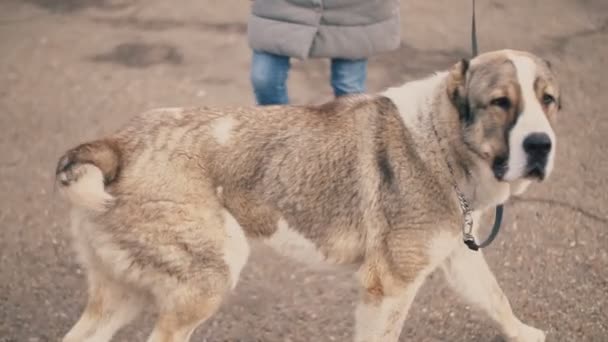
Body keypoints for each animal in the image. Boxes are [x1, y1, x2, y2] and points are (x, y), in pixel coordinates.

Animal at [54, 48, 560, 342]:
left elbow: (496, 298)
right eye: (500, 102)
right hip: (209, 277)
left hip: (125, 293)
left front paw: (522, 333)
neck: (438, 137)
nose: (541, 145)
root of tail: (118, 143)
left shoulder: (456, 258)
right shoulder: (390, 287)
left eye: (548, 100)